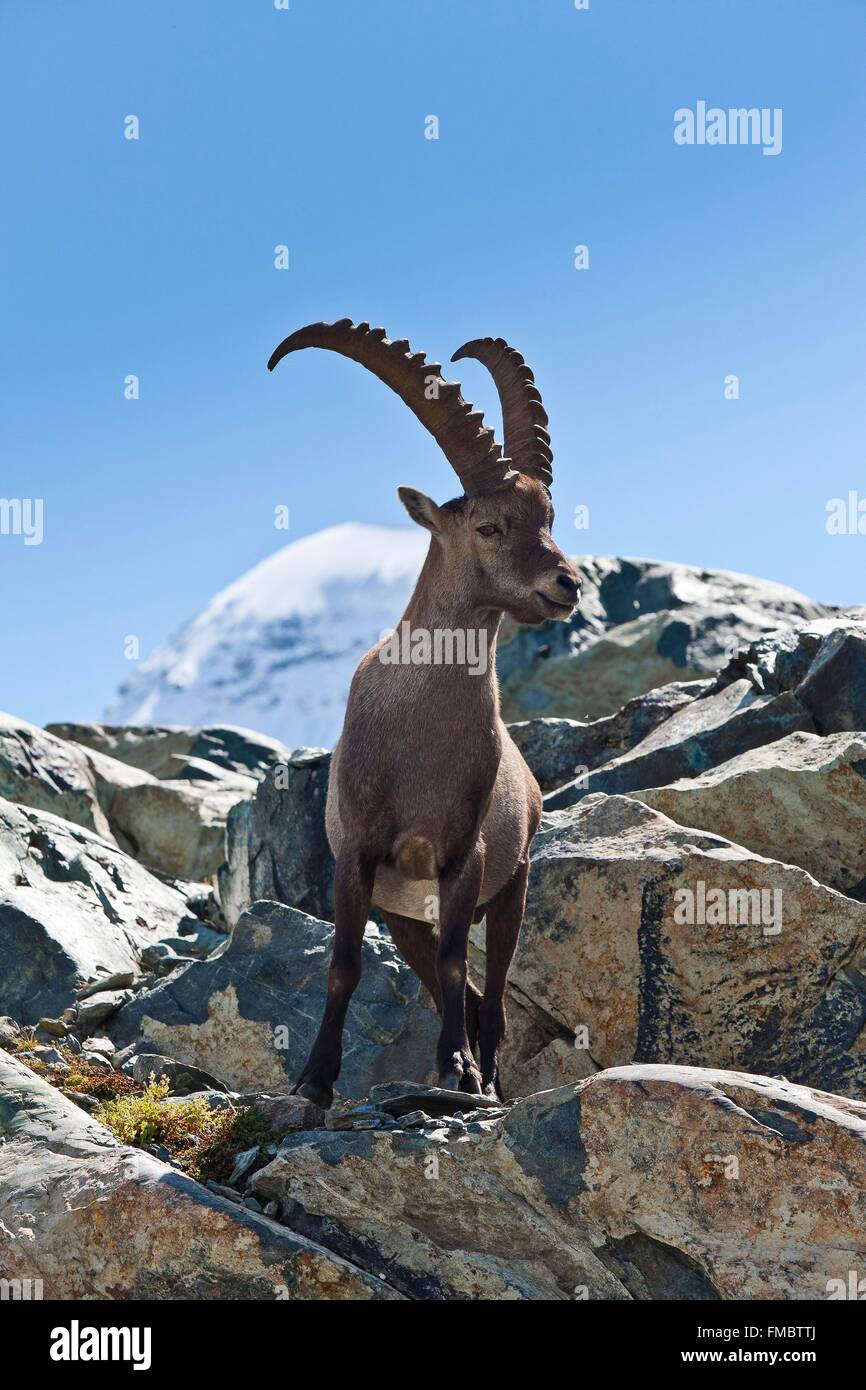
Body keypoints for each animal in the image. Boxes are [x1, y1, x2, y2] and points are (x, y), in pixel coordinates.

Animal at [268, 320, 581, 1105]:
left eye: (549, 519)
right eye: (491, 526)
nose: (568, 584)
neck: (418, 733)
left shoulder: (461, 856)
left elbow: (453, 966)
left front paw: (457, 1071)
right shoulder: (359, 857)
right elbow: (344, 965)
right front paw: (314, 1080)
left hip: (513, 887)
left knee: (488, 998)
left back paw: (482, 1074)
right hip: (404, 914)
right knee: (459, 994)